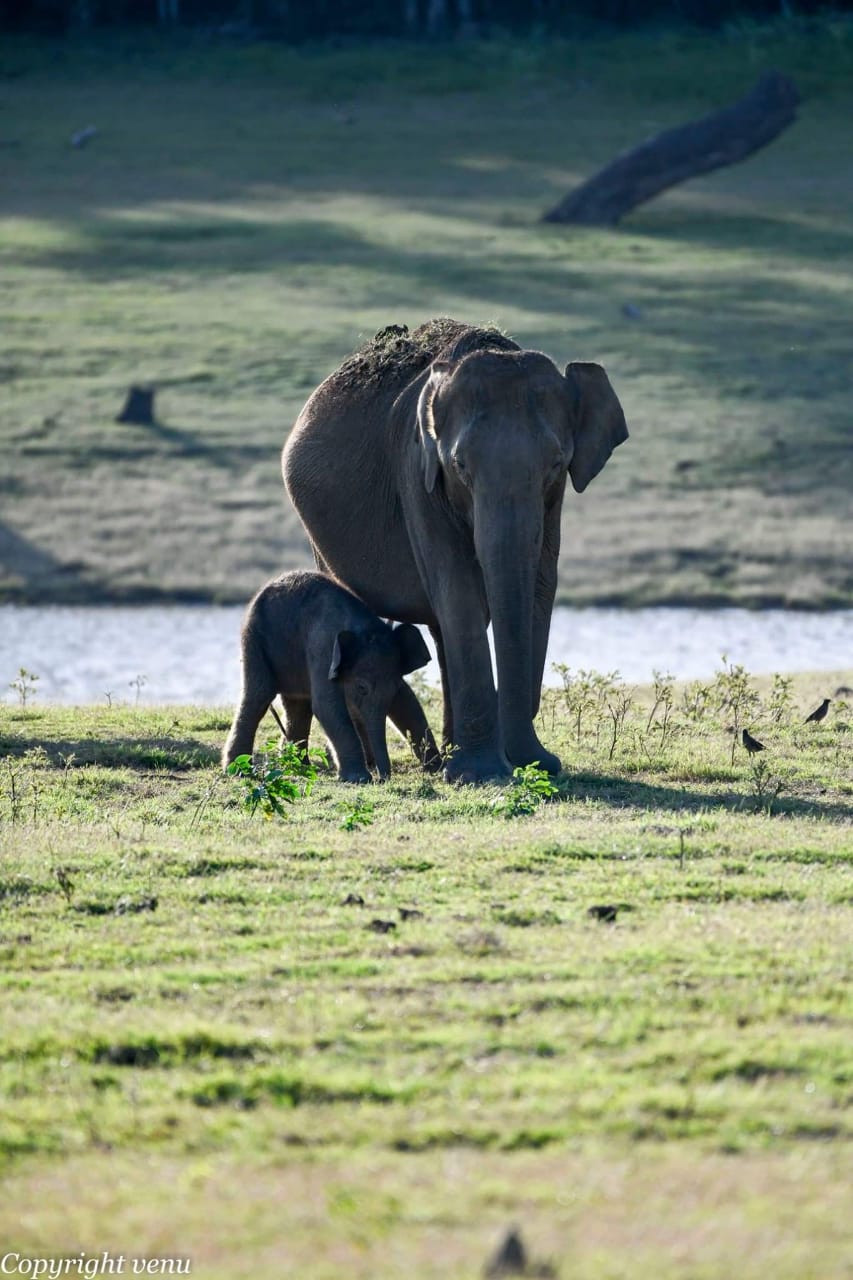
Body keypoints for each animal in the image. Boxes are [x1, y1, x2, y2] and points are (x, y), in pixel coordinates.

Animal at [222, 570, 435, 778]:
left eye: (394, 686)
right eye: (361, 688)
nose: (382, 777)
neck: (363, 628)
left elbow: (406, 701)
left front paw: (436, 765)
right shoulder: (322, 650)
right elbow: (327, 707)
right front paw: (359, 779)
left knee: (298, 706)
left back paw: (298, 766)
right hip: (254, 638)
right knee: (259, 696)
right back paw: (239, 770)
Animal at [281, 320, 622, 778]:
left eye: (556, 464)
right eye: (460, 466)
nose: (542, 763)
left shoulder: (554, 500)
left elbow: (539, 586)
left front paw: (519, 765)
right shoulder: (417, 472)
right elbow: (458, 588)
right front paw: (482, 774)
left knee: (442, 631)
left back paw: (447, 754)